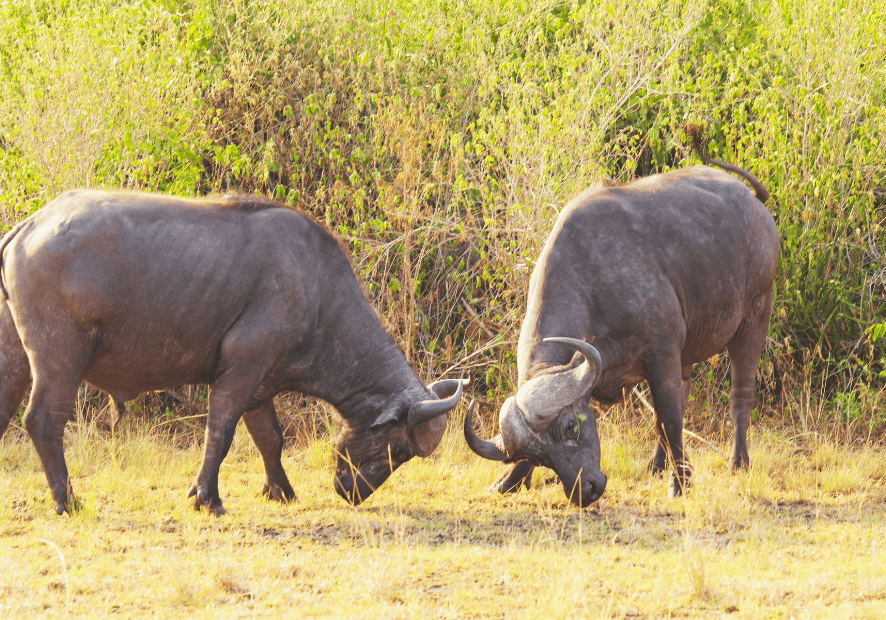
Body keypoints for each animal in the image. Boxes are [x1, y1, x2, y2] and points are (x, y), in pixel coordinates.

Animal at [0, 191, 468, 516]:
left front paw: (280, 490)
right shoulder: (242, 369)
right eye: (399, 450)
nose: (354, 494)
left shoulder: (261, 383)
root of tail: (31, 223)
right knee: (42, 421)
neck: (320, 295)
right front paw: (207, 497)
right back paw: (67, 500)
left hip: (15, 360)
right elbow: (220, 434)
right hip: (60, 360)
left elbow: (270, 438)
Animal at [468, 159, 780, 504]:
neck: (594, 282)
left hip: (754, 319)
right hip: (687, 352)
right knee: (683, 394)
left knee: (740, 394)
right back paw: (657, 465)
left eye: (570, 427)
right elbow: (666, 418)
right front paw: (508, 481)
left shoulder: (661, 353)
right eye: (540, 456)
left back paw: (738, 463)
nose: (586, 491)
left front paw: (680, 484)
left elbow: (668, 420)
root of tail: (753, 202)